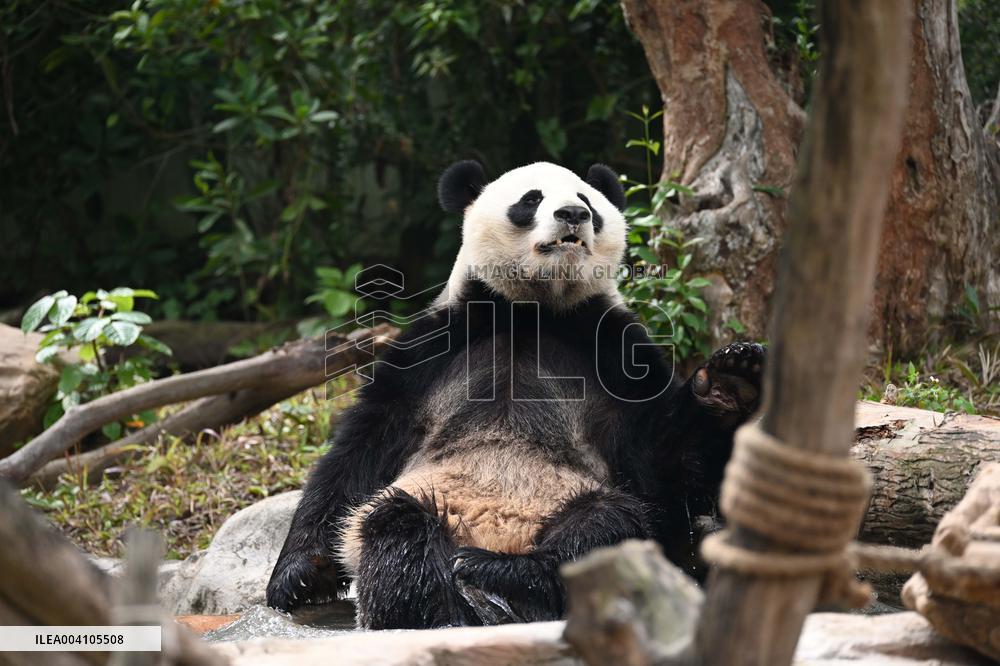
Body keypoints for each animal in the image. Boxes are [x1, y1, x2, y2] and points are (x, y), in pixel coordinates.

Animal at [266, 160, 764, 629]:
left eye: (588, 200)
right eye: (531, 199)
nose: (573, 215)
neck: (530, 310)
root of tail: (500, 540)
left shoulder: (612, 349)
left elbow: (661, 458)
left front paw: (729, 379)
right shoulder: (434, 349)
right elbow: (363, 446)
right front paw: (302, 575)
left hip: (568, 504)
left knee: (607, 523)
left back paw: (507, 577)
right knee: (396, 527)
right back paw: (445, 610)